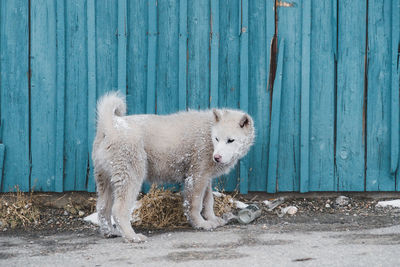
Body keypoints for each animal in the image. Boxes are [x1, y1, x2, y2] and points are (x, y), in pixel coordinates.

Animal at [92, 92, 255, 243]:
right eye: (217, 139)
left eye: (230, 140)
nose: (217, 157)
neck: (208, 131)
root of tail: (111, 125)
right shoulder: (196, 177)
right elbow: (195, 204)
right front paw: (201, 224)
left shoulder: (205, 177)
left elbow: (208, 201)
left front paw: (212, 219)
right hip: (130, 175)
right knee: (118, 209)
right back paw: (132, 236)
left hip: (105, 178)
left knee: (102, 207)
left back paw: (110, 232)